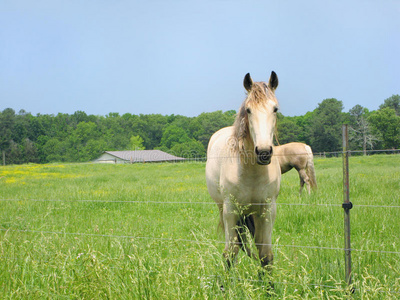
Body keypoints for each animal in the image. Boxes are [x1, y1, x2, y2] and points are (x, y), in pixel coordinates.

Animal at [206, 71, 282, 270]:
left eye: (275, 109)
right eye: (248, 110)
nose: (263, 152)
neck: (251, 171)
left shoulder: (267, 210)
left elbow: (265, 255)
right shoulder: (231, 210)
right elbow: (230, 254)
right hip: (225, 208)